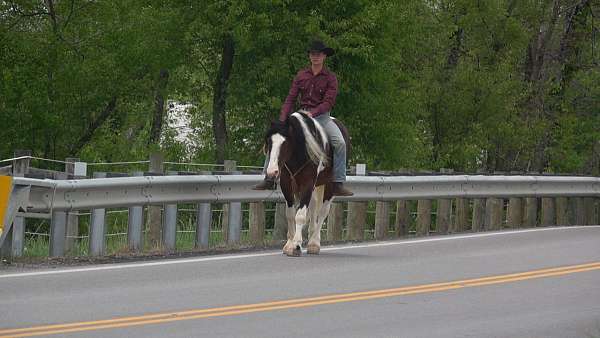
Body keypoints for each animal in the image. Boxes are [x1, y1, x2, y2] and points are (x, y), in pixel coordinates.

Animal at [264, 111, 352, 256]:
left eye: (285, 142)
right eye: (269, 142)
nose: (272, 172)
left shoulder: (308, 184)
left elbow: (300, 215)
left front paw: (296, 245)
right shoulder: (287, 184)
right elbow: (290, 214)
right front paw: (289, 244)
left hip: (329, 186)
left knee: (322, 212)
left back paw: (314, 243)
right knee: (314, 206)